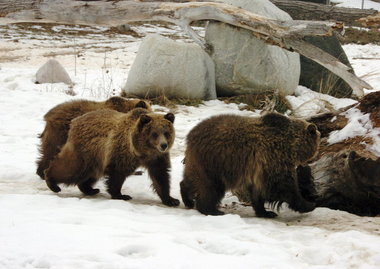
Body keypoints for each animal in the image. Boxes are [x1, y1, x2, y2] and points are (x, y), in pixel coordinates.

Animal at [43, 108, 180, 206]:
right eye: (154, 133)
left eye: (166, 133)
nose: (163, 145)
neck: (142, 151)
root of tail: (75, 121)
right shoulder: (121, 154)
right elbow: (117, 175)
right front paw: (121, 195)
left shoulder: (157, 158)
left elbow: (161, 176)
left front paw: (172, 200)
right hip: (85, 152)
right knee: (71, 169)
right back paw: (52, 182)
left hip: (94, 158)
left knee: (89, 173)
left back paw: (90, 189)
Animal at [180, 112, 320, 217]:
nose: (306, 165)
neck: (291, 146)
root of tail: (191, 135)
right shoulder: (273, 157)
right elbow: (281, 185)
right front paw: (308, 204)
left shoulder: (260, 167)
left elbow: (258, 191)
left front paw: (265, 212)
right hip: (216, 161)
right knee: (211, 186)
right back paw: (211, 210)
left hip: (201, 161)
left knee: (192, 179)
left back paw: (188, 199)